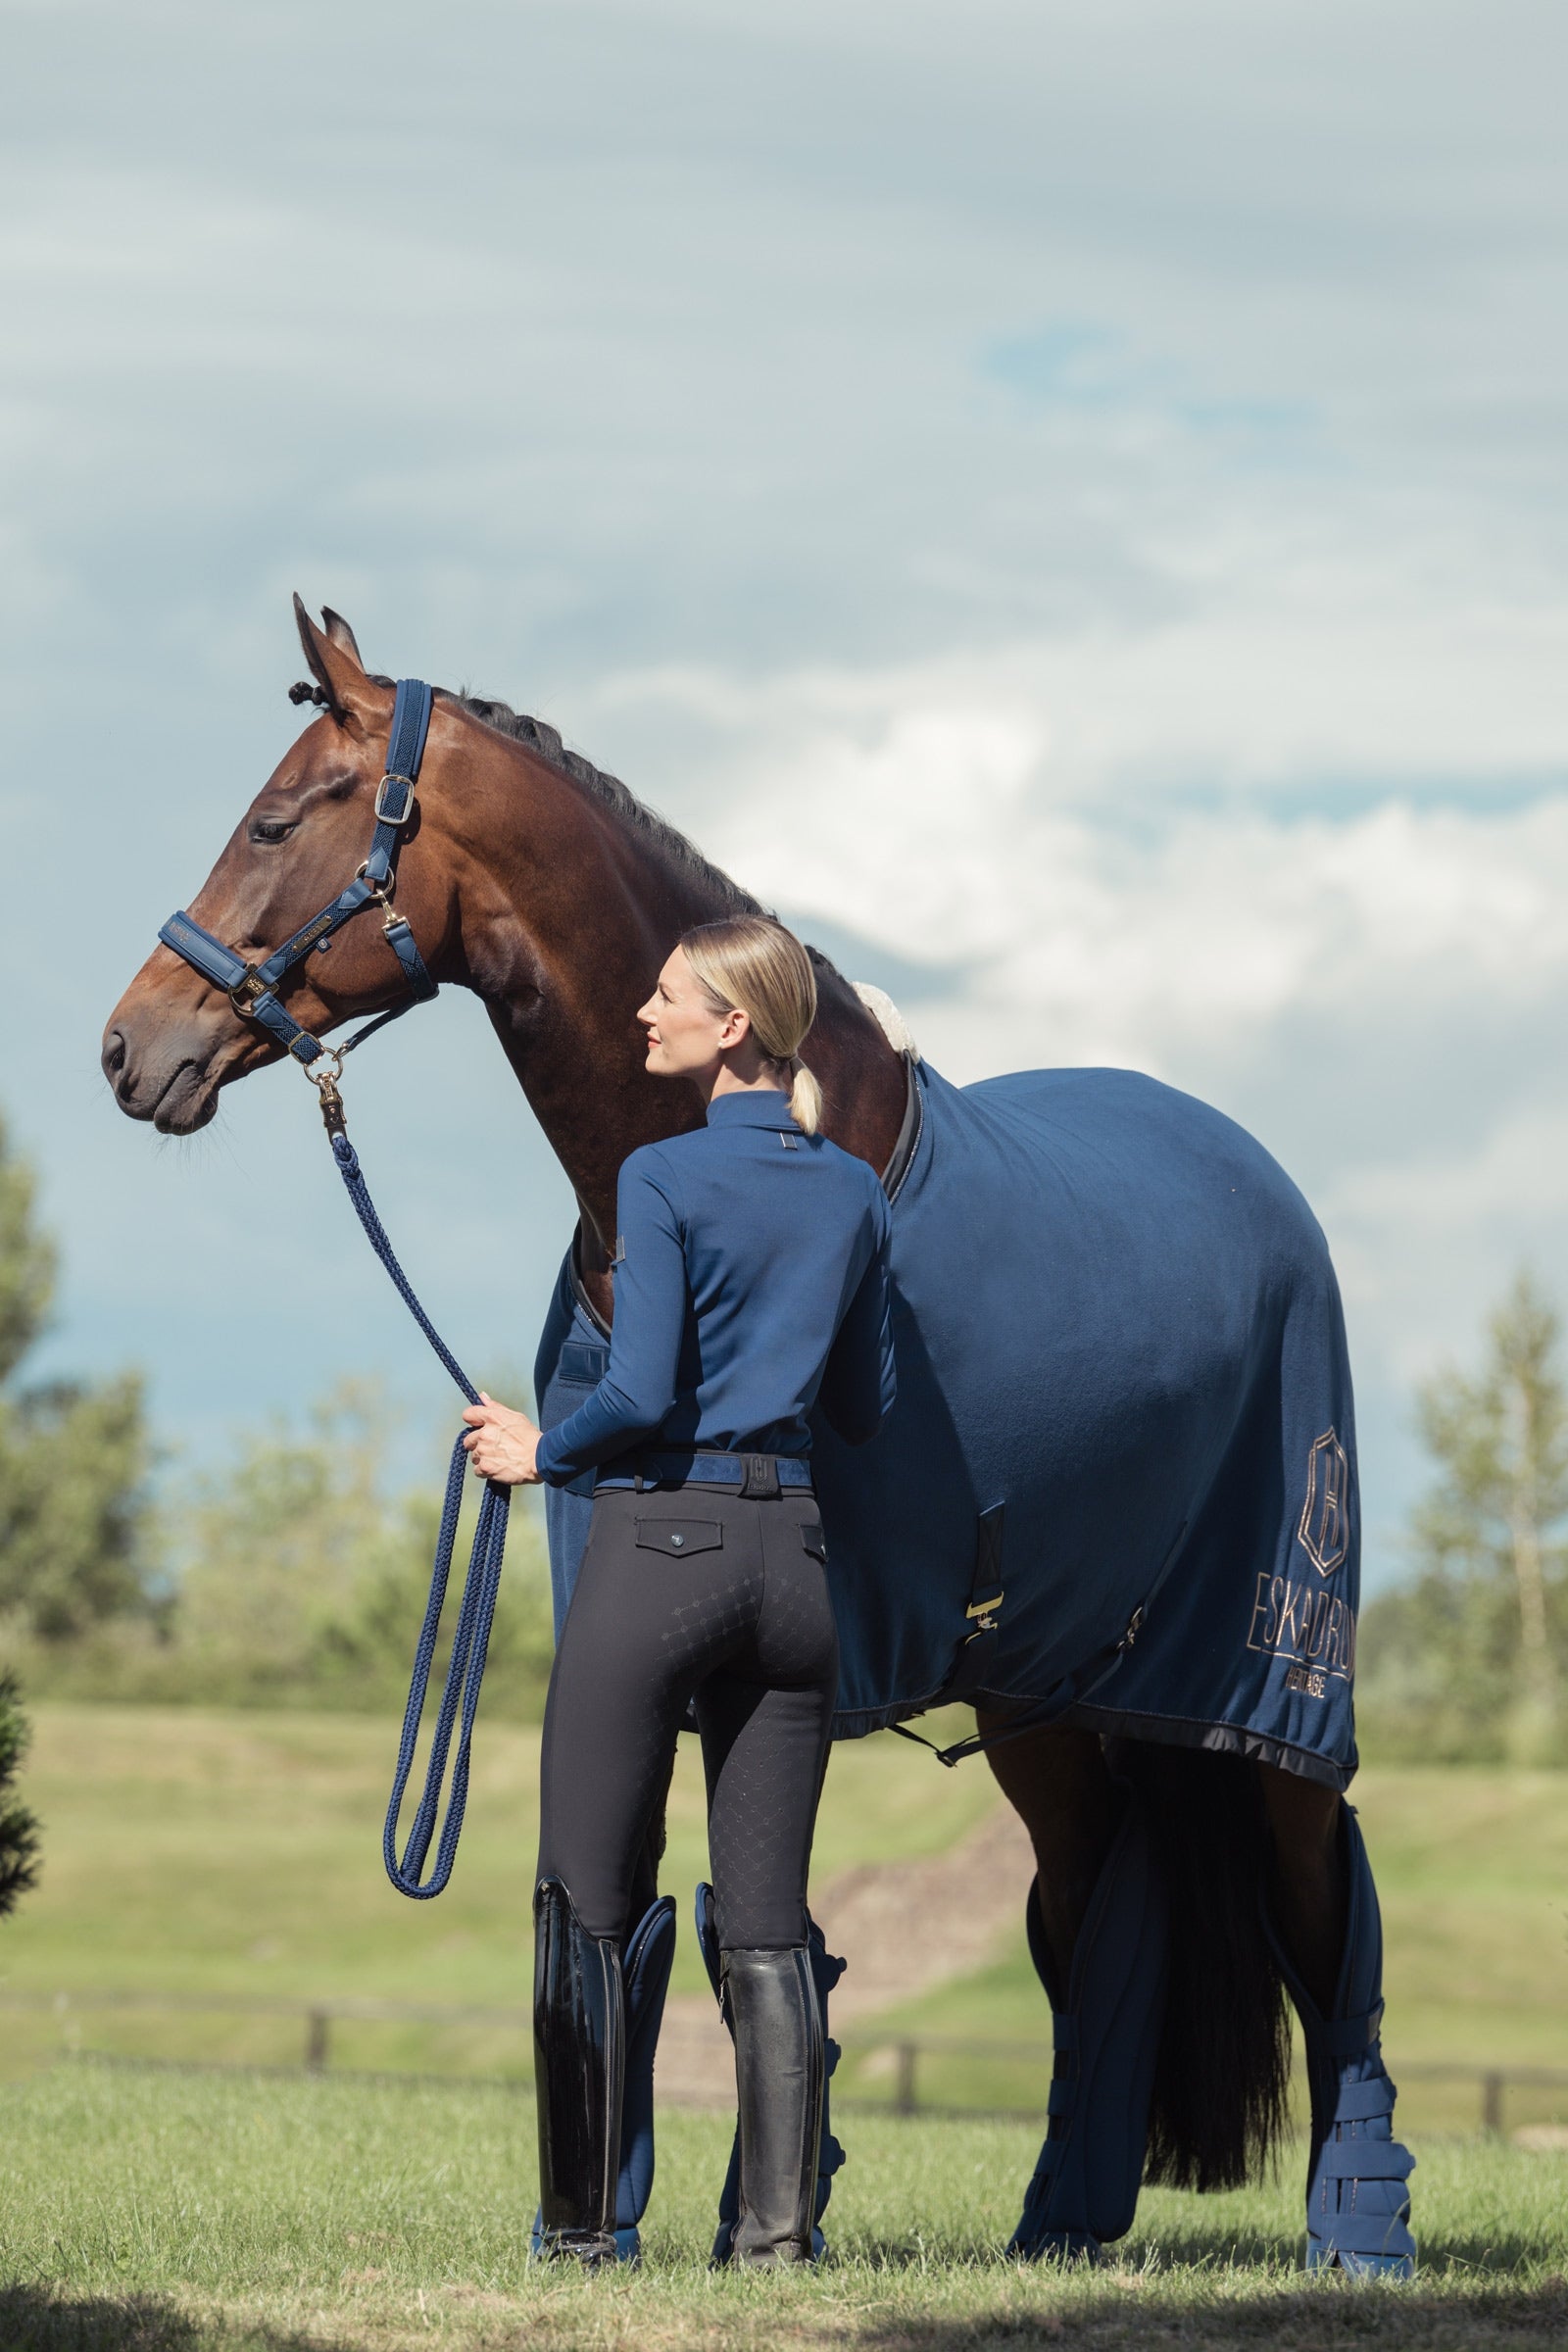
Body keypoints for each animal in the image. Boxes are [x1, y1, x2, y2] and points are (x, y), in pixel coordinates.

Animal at [102, 598, 1416, 2274]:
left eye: (274, 820)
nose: (128, 1049)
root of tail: (1270, 1192)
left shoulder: (818, 1652)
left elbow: (763, 1919)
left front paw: (751, 2216)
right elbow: (657, 1913)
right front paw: (622, 2219)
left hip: (1273, 1686)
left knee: (1328, 1919)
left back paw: (1357, 2226)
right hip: (1051, 1699)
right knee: (1088, 1912)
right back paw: (1059, 2220)